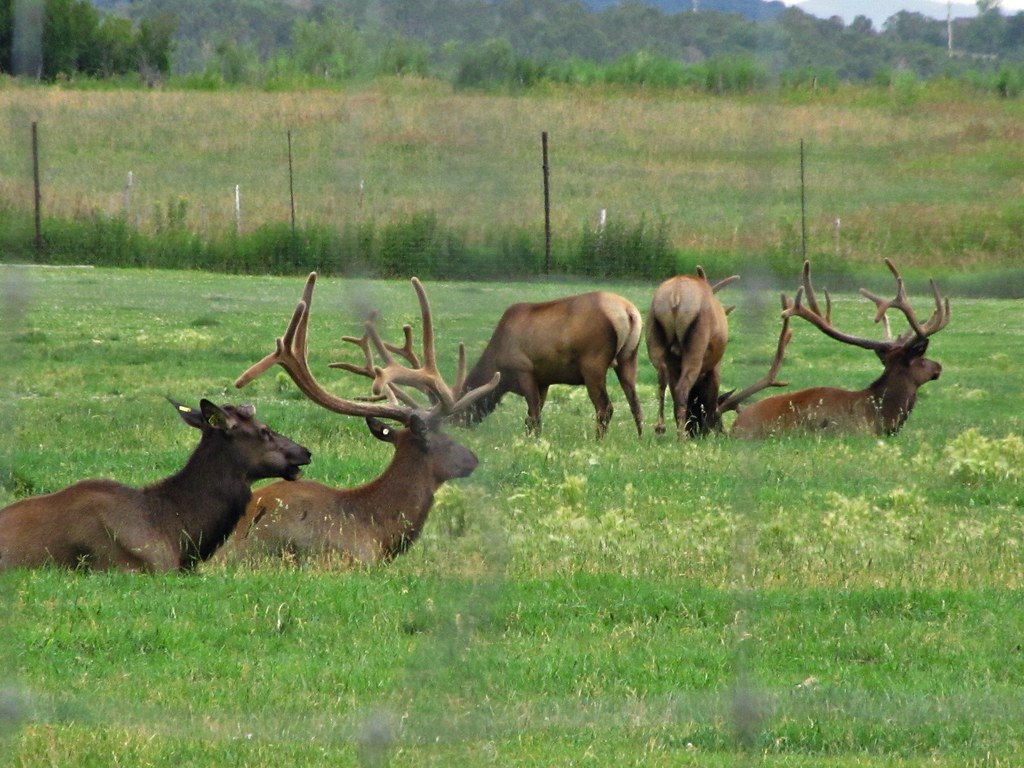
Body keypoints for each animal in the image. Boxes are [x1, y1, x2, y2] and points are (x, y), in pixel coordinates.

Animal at [456, 291, 645, 438]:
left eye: (463, 410)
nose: (456, 427)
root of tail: (629, 311)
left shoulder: (524, 371)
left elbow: (534, 416)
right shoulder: (543, 382)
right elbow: (532, 416)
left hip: (593, 365)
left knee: (605, 408)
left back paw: (598, 441)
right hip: (628, 359)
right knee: (635, 404)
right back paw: (641, 439)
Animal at [646, 266, 740, 437]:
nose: (723, 431)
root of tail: (676, 296)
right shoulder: (714, 368)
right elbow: (711, 399)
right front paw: (707, 432)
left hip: (654, 340)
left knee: (662, 382)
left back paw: (661, 427)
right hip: (696, 346)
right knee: (681, 389)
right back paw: (681, 437)